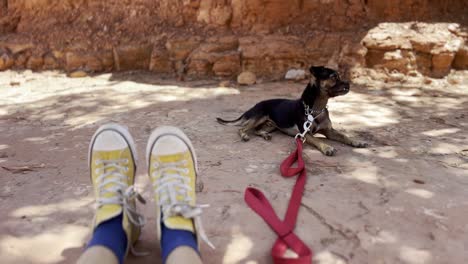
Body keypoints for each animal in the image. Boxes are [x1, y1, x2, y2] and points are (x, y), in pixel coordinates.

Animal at [218, 66, 368, 156]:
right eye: (334, 77)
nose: (349, 83)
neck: (316, 108)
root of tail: (253, 107)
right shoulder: (305, 133)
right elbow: (317, 140)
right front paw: (326, 147)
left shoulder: (329, 131)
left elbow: (344, 136)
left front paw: (357, 142)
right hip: (258, 116)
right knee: (242, 128)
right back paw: (244, 136)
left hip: (272, 124)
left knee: (256, 130)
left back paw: (265, 135)